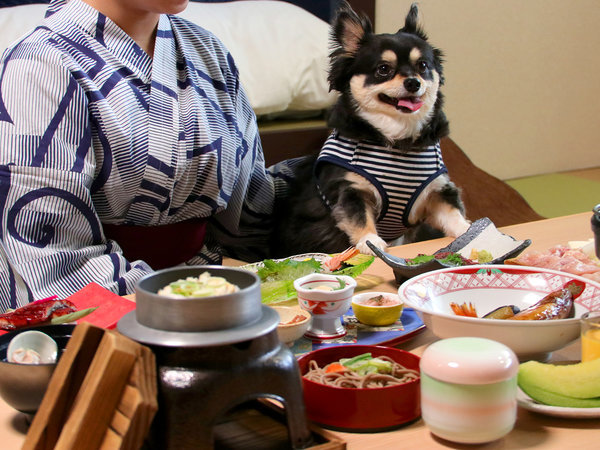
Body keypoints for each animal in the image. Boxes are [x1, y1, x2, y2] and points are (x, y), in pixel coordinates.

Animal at [270, 2, 468, 256]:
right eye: (383, 69)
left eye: (423, 66)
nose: (413, 82)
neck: (397, 139)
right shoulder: (352, 190)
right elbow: (359, 218)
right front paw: (369, 241)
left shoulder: (436, 191)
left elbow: (453, 214)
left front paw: (476, 230)